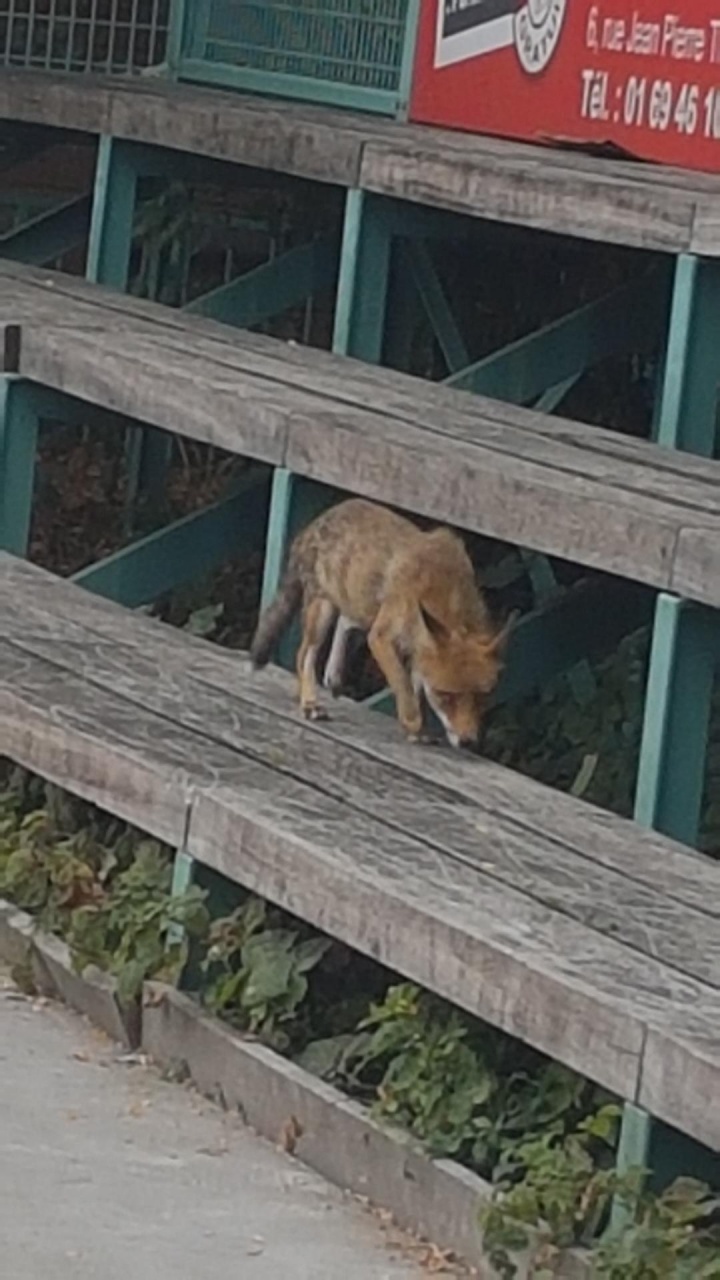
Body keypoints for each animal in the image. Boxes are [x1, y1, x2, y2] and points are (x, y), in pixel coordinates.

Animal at [250, 498, 514, 750]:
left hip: (359, 605)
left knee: (344, 621)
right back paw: (310, 702)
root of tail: (317, 521)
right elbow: (404, 687)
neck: (445, 591)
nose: (468, 741)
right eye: (445, 696)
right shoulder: (381, 638)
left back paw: (333, 677)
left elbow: (415, 686)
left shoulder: (415, 650)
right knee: (304, 655)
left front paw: (417, 728)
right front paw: (413, 724)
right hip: (322, 611)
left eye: (483, 698)